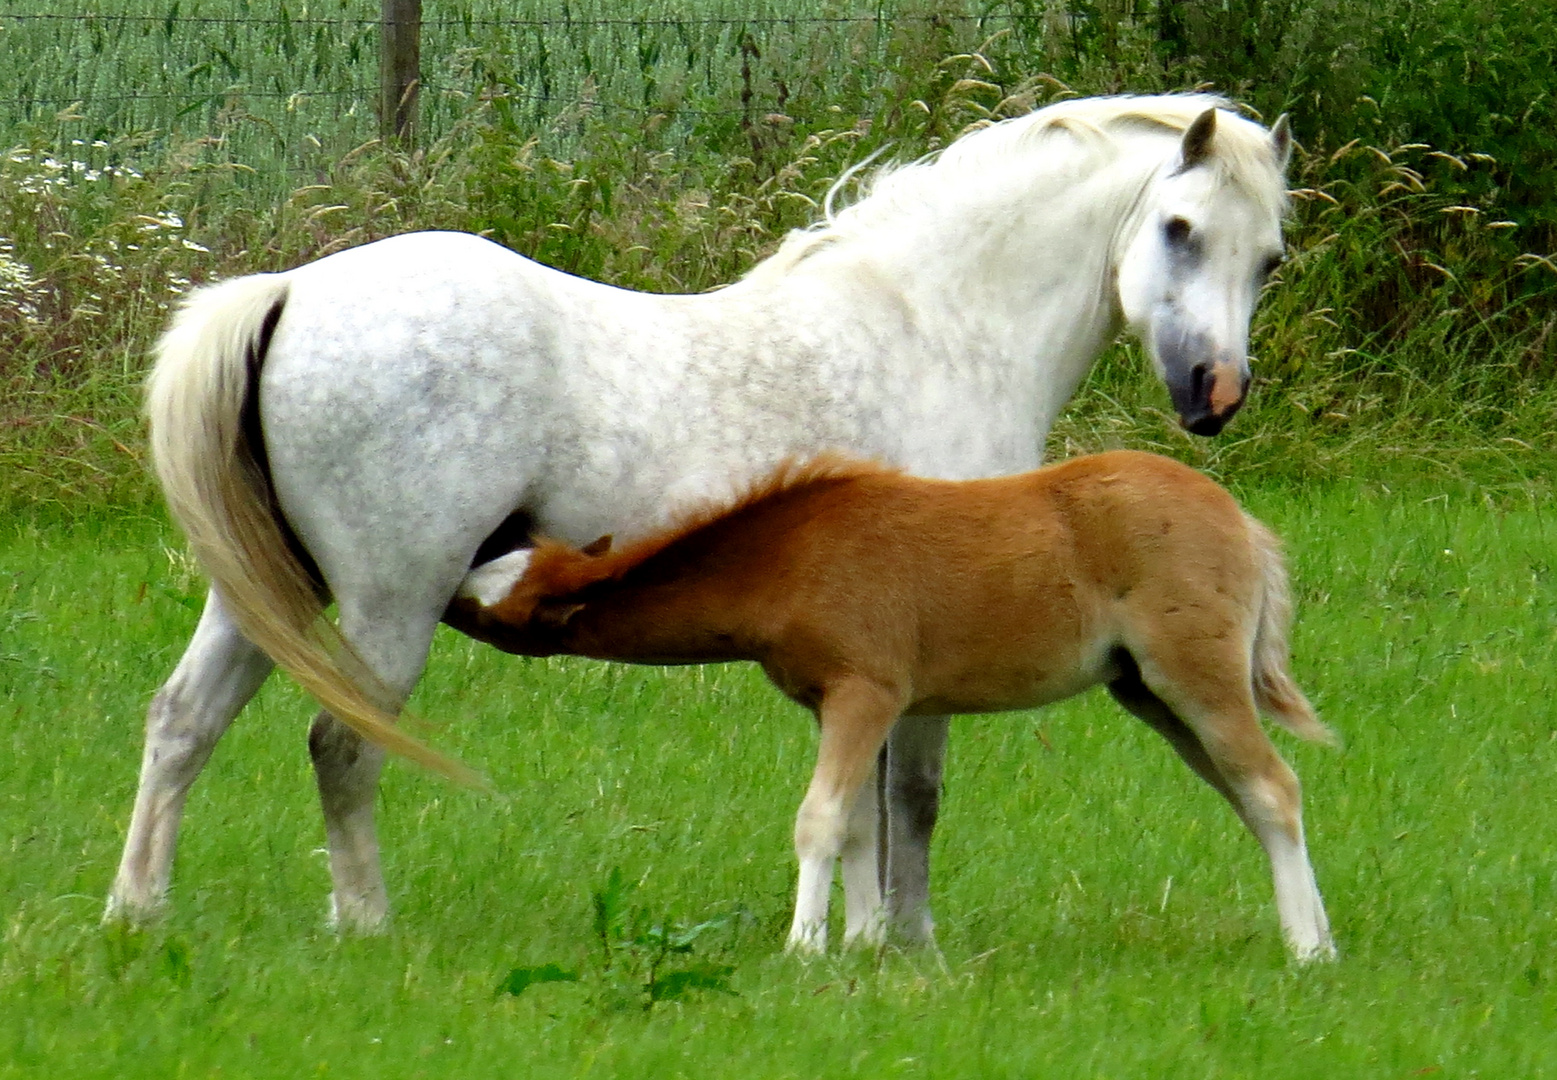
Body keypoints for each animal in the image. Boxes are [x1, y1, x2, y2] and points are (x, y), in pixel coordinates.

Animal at [109, 95, 1295, 946]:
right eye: (1180, 230)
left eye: (1269, 257)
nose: (1215, 395)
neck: (931, 325)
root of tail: (292, 290)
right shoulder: (927, 641)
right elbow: (908, 796)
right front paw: (904, 944)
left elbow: (869, 802)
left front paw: (867, 939)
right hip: (388, 604)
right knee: (343, 747)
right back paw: (365, 925)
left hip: (262, 595)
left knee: (181, 724)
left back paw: (138, 914)